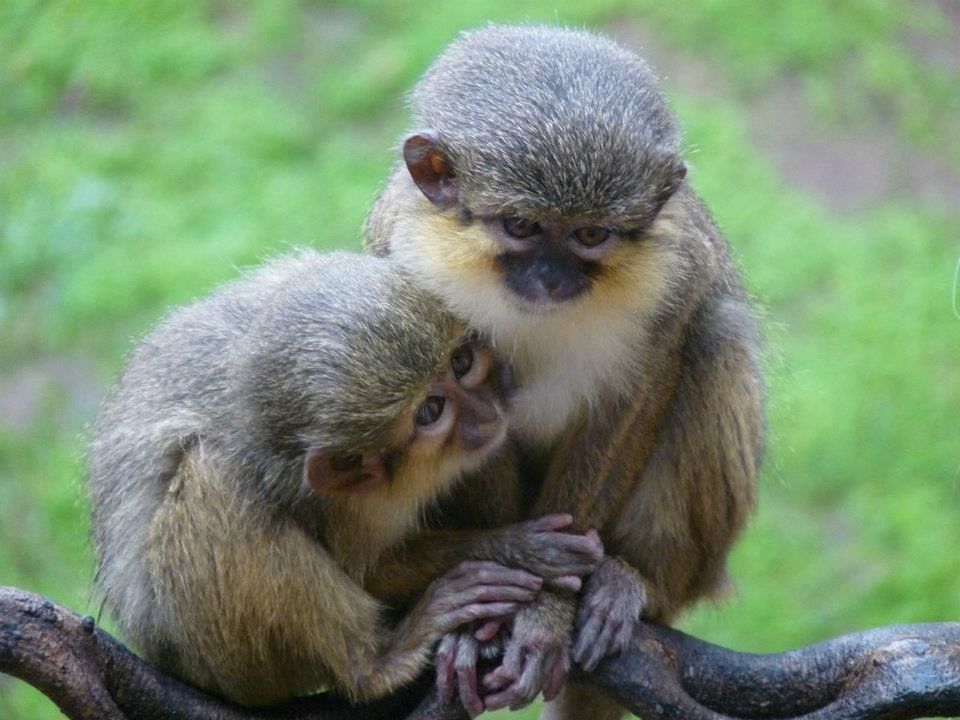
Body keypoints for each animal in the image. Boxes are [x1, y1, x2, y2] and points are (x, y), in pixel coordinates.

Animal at [90, 249, 600, 708]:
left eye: (461, 364)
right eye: (431, 411)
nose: (486, 412)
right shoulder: (340, 502)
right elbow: (368, 573)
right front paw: (509, 546)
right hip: (230, 668)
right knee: (210, 477)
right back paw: (373, 665)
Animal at [362, 25, 764, 716]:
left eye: (591, 235)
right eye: (522, 226)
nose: (551, 278)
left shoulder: (677, 270)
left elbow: (640, 392)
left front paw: (547, 610)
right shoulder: (396, 249)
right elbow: (469, 422)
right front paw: (500, 594)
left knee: (717, 339)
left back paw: (634, 581)